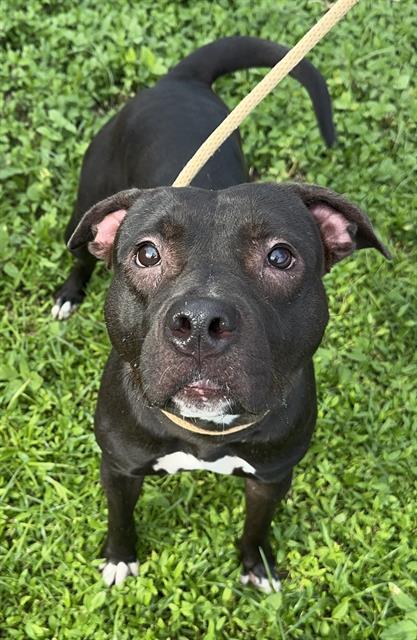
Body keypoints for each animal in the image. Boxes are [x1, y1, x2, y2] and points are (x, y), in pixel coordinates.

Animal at [54, 38, 386, 592]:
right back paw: (68, 293)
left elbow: (257, 524)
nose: (200, 324)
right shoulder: (118, 468)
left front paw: (257, 565)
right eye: (146, 254)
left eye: (280, 256)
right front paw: (120, 558)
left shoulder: (272, 477)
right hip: (87, 199)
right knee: (79, 255)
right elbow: (120, 518)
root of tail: (179, 80)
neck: (204, 433)